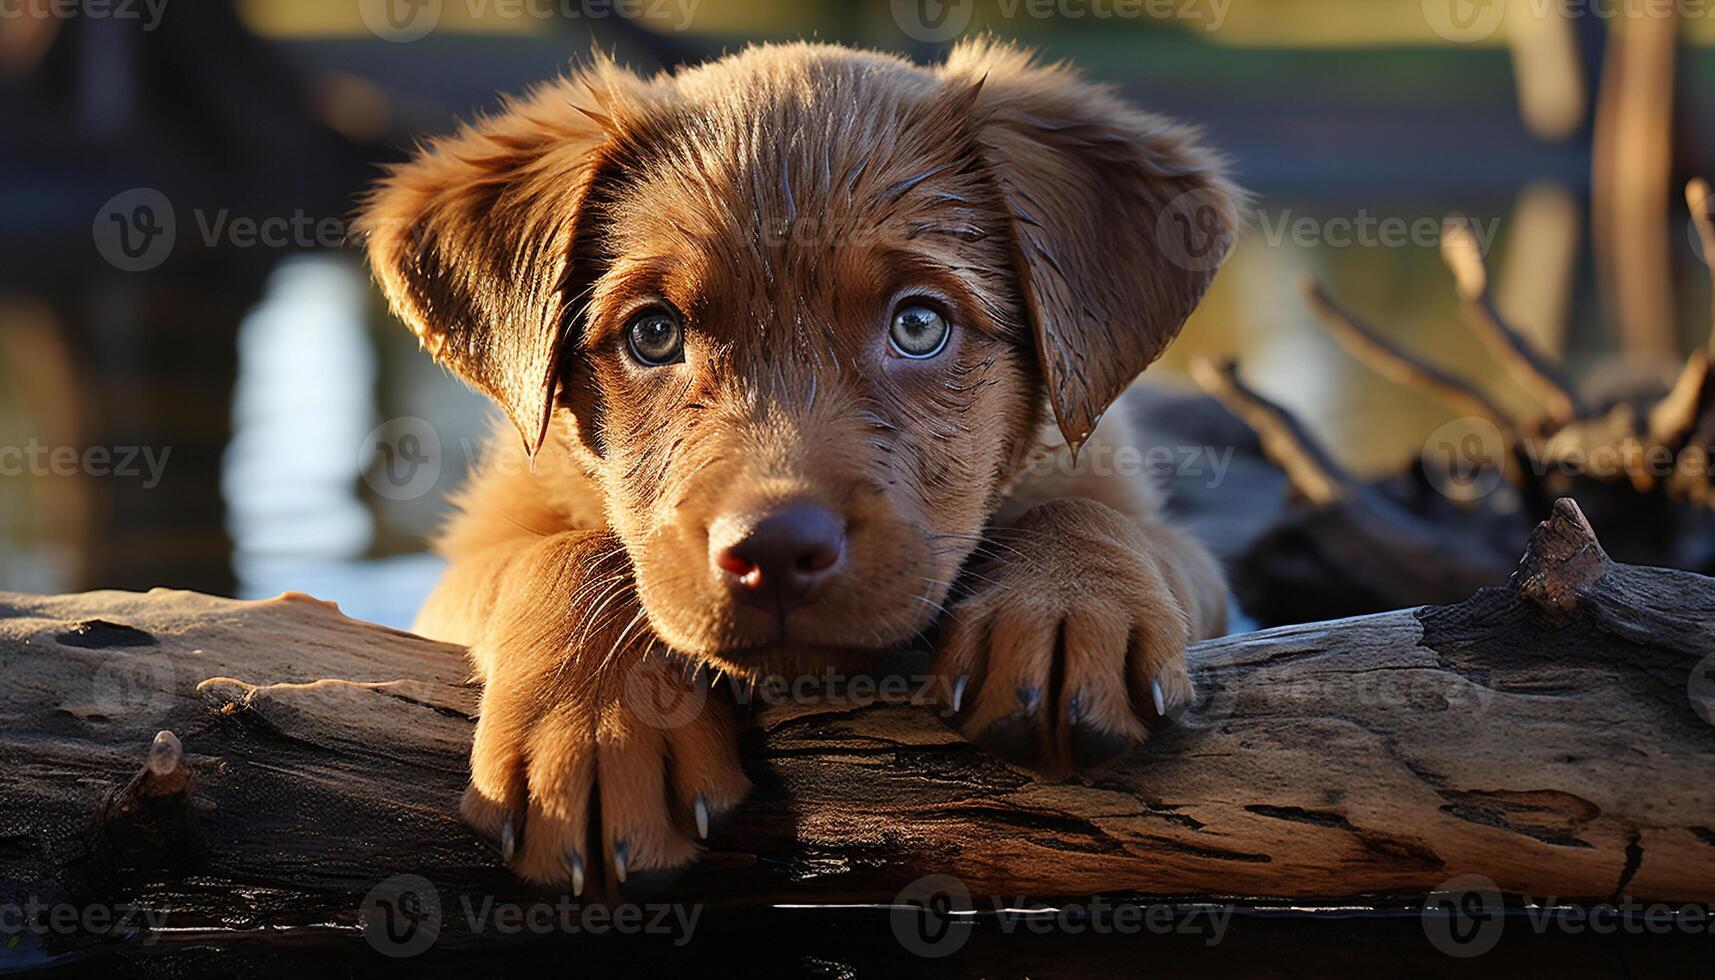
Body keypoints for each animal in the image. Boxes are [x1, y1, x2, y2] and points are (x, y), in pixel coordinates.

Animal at [358, 38, 1234, 899]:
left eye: (919, 325)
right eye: (653, 334)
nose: (774, 552)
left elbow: (1092, 513)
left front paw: (1068, 607)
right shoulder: (459, 573)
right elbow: (562, 554)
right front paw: (595, 727)